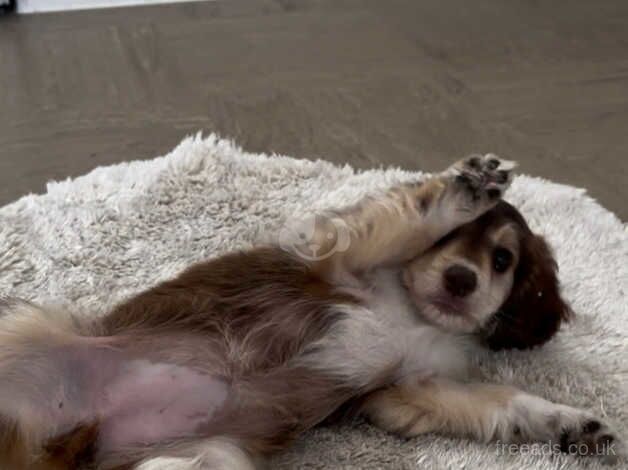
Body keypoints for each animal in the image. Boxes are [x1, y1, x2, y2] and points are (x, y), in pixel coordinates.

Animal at [0, 155, 620, 470]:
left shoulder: (406, 390)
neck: (412, 312)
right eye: (447, 245)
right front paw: (469, 184)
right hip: (24, 329)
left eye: (502, 260)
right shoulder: (345, 252)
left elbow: (503, 401)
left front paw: (571, 424)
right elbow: (419, 211)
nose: (460, 279)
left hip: (201, 458)